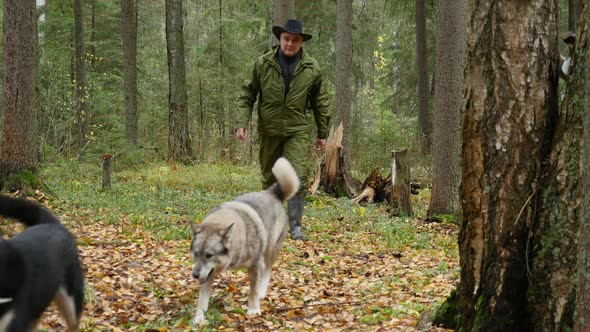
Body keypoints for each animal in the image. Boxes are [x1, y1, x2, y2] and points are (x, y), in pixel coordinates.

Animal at [191, 158, 300, 324]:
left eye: (209, 255)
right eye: (196, 254)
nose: (195, 275)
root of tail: (272, 192)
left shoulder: (255, 266)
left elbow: (253, 291)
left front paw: (253, 309)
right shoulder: (208, 273)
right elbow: (202, 298)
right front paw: (199, 317)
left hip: (270, 250)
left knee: (268, 270)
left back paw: (262, 291)